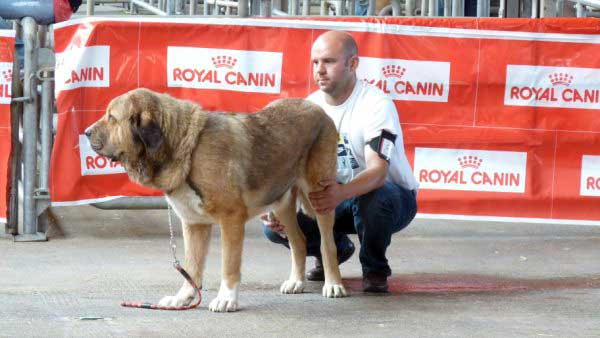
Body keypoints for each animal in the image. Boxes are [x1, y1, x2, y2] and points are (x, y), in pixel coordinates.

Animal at [85, 88, 346, 312]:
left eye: (111, 117)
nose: (86, 132)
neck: (187, 148)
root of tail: (318, 108)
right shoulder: (194, 224)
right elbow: (191, 267)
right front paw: (183, 298)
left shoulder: (232, 220)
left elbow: (228, 265)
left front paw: (226, 299)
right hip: (281, 202)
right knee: (299, 241)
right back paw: (296, 282)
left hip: (319, 194)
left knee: (327, 244)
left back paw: (333, 284)